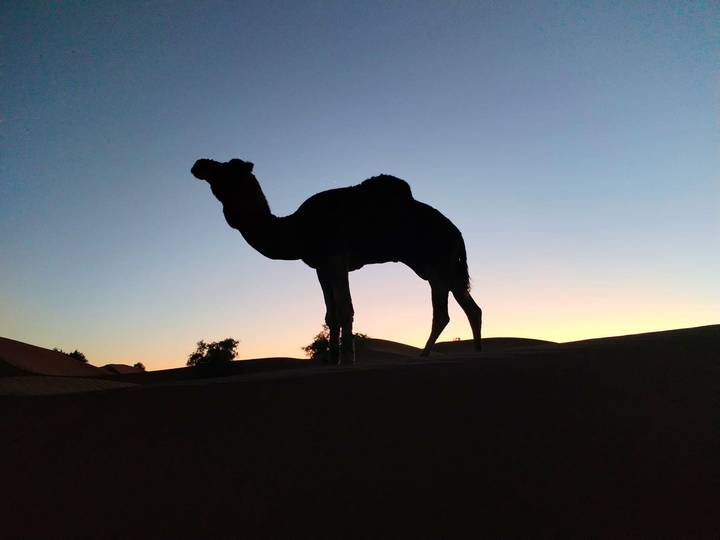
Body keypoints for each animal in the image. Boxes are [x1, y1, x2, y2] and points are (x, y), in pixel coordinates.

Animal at [191, 158, 482, 364]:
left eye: (227, 168)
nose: (199, 164)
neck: (297, 229)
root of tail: (457, 231)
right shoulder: (321, 266)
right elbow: (330, 314)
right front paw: (331, 359)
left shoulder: (337, 259)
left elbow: (345, 309)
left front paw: (347, 359)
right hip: (442, 266)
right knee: (468, 308)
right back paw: (474, 352)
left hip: (438, 263)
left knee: (445, 311)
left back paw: (428, 354)